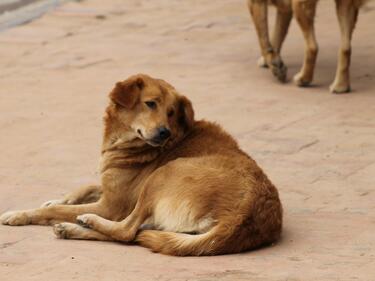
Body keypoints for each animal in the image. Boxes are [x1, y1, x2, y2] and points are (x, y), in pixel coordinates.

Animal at [0, 74, 282, 256]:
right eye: (150, 103)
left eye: (171, 112)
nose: (164, 133)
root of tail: (246, 215)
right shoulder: (112, 187)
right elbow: (86, 186)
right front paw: (57, 200)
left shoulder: (111, 205)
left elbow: (55, 210)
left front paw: (20, 214)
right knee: (133, 234)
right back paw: (71, 229)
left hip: (163, 174)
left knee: (127, 231)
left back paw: (85, 221)